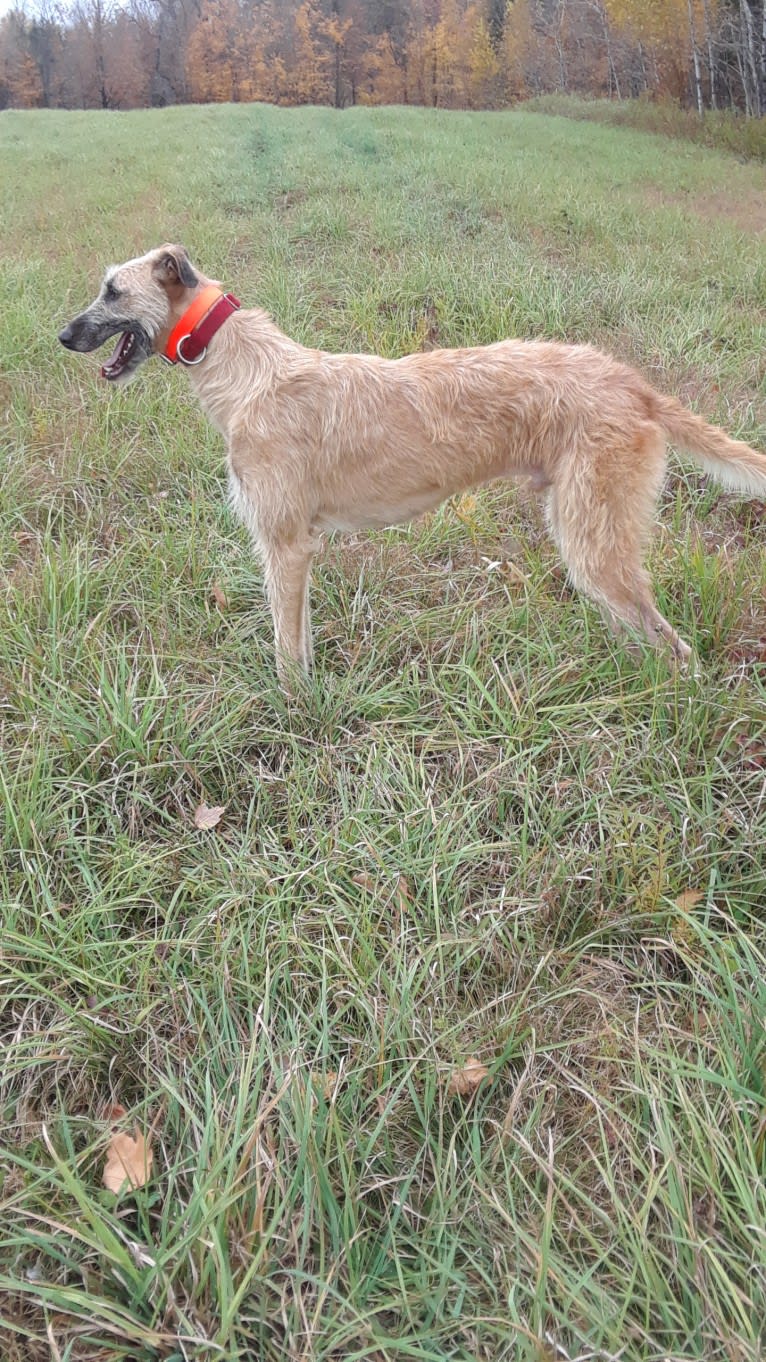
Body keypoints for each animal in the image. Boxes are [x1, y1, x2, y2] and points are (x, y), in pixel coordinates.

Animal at [59, 246, 763, 681]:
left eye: (112, 291)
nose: (61, 336)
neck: (246, 371)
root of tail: (633, 384)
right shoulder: (298, 550)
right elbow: (300, 638)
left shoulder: (284, 544)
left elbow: (286, 651)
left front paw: (292, 713)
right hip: (593, 537)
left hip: (594, 540)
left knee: (676, 650)